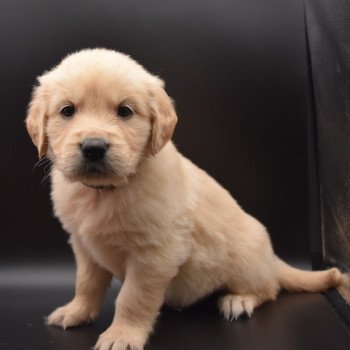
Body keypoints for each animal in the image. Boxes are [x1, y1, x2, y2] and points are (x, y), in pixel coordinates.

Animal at [26, 49, 344, 350]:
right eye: (67, 111)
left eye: (125, 111)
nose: (93, 147)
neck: (104, 191)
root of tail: (272, 259)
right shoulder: (84, 246)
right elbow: (86, 283)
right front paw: (76, 311)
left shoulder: (154, 255)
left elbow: (132, 298)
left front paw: (122, 335)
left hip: (247, 258)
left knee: (269, 288)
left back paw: (240, 300)